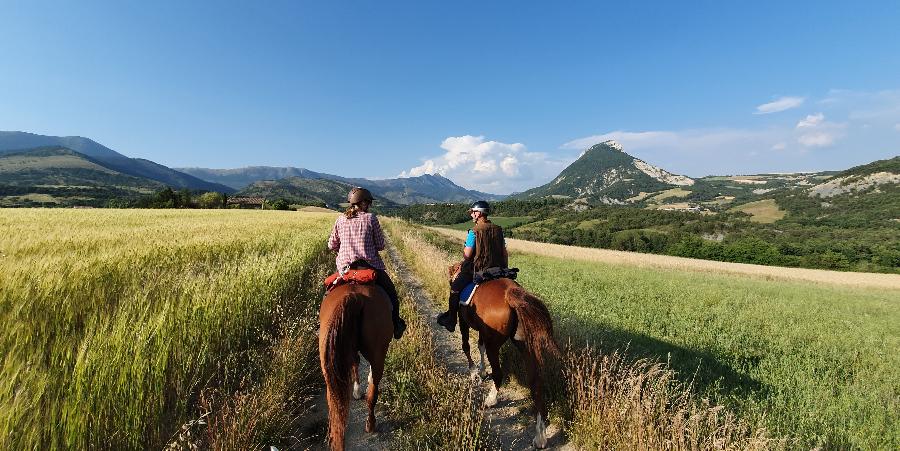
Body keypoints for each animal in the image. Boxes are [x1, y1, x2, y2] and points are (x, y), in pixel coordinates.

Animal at [318, 282, 392, 448]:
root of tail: (355, 296)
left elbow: (355, 363)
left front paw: (356, 391)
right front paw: (358, 390)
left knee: (333, 400)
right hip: (378, 355)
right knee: (372, 393)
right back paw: (370, 425)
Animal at [448, 262, 556, 448]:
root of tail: (511, 293)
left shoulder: (463, 321)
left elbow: (466, 346)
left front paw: (474, 373)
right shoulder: (482, 331)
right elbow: (480, 346)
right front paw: (482, 370)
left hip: (495, 344)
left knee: (498, 373)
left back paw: (491, 399)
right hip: (524, 345)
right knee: (536, 383)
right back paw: (540, 435)